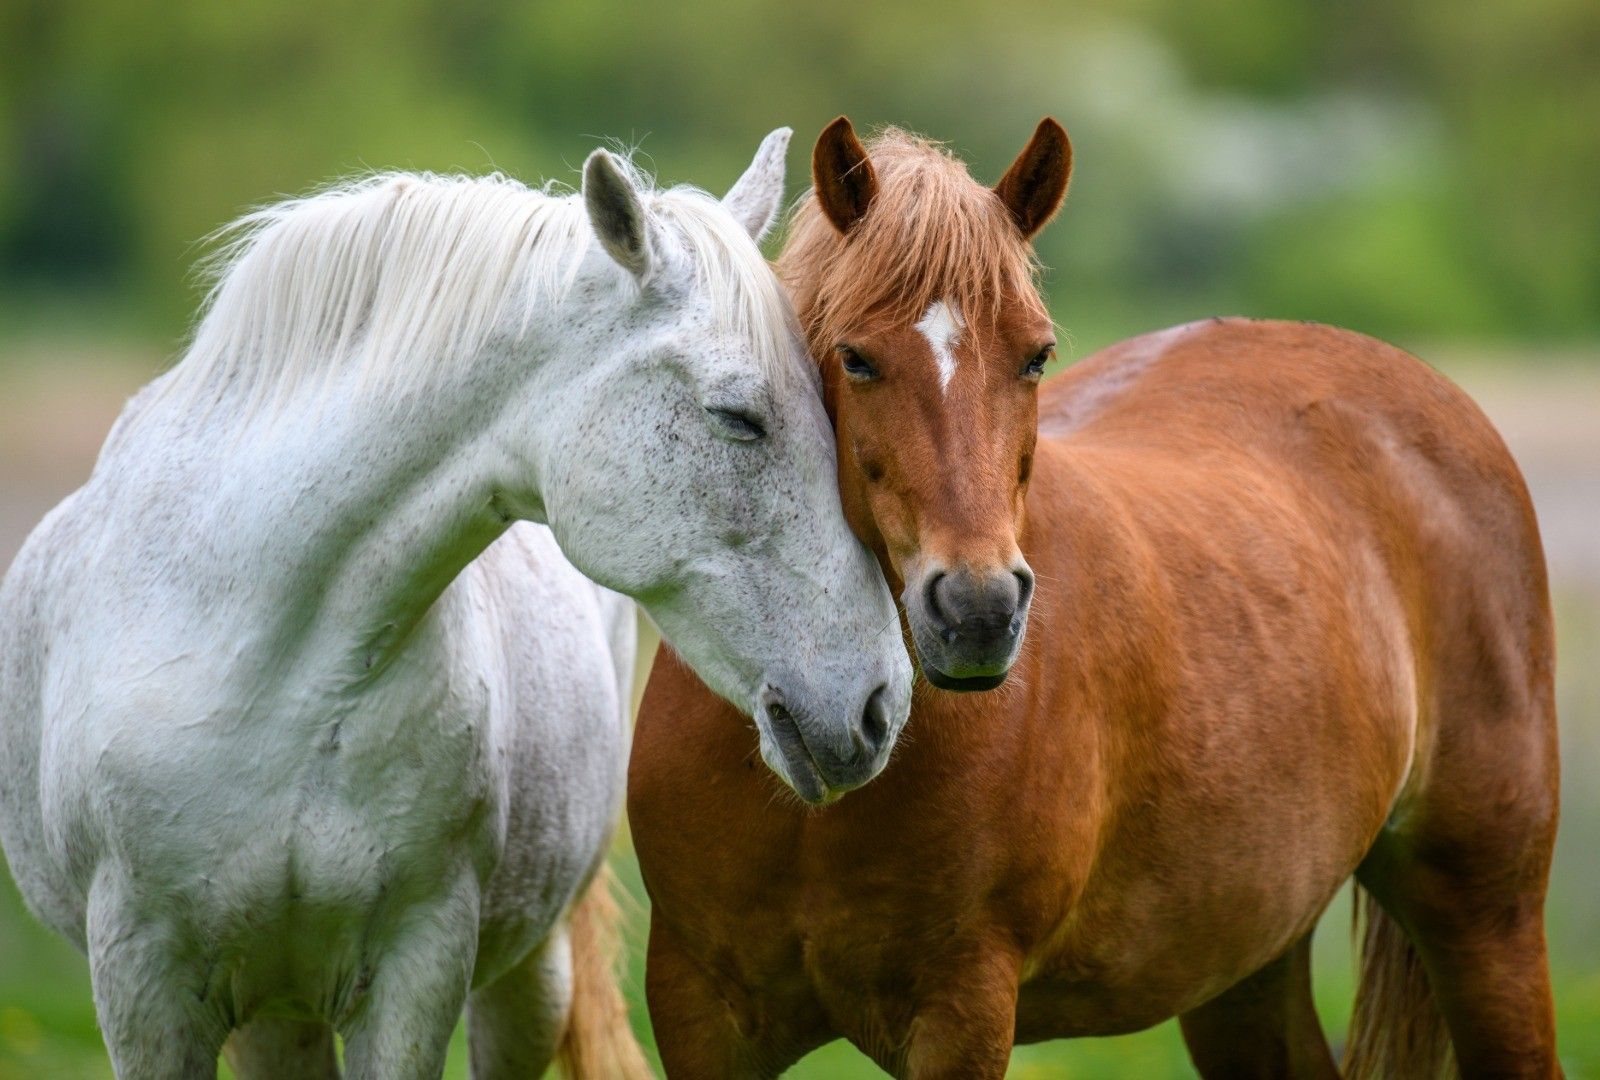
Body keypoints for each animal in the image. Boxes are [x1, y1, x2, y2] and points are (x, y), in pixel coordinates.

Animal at [0, 128, 914, 1079]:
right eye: (739, 417)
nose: (881, 704)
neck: (258, 658)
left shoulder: (417, 966)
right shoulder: (144, 989)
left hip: (522, 981)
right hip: (273, 1011)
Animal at [629, 118, 1561, 1078]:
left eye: (1036, 355)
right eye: (855, 358)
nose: (977, 613)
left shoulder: (961, 1010)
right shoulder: (700, 1012)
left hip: (1485, 919)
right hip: (1246, 967)